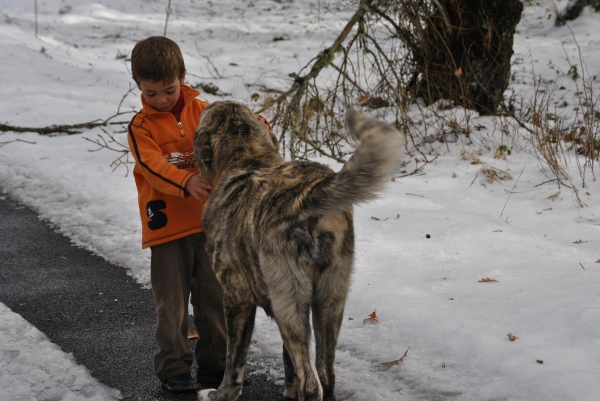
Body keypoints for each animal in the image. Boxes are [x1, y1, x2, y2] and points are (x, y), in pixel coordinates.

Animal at [195, 101, 406, 400]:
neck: (247, 159)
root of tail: (306, 195)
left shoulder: (237, 299)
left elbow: (234, 364)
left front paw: (219, 394)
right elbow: (290, 363)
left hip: (290, 304)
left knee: (312, 382)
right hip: (329, 300)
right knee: (325, 372)